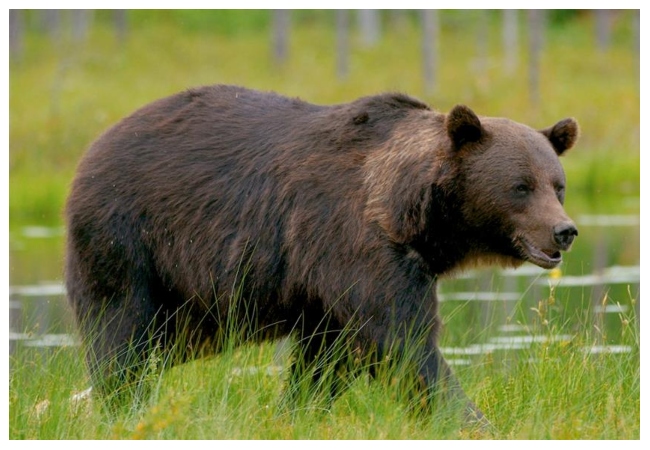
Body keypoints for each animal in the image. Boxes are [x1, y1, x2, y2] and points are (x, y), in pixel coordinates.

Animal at [63, 84, 576, 422]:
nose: (564, 231)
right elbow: (402, 343)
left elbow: (326, 359)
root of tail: (94, 147)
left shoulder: (325, 284)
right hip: (132, 239)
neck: (411, 217)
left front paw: (297, 410)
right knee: (121, 333)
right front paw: (468, 419)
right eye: (520, 186)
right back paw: (118, 404)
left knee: (159, 345)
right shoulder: (354, 244)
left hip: (186, 300)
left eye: (558, 185)